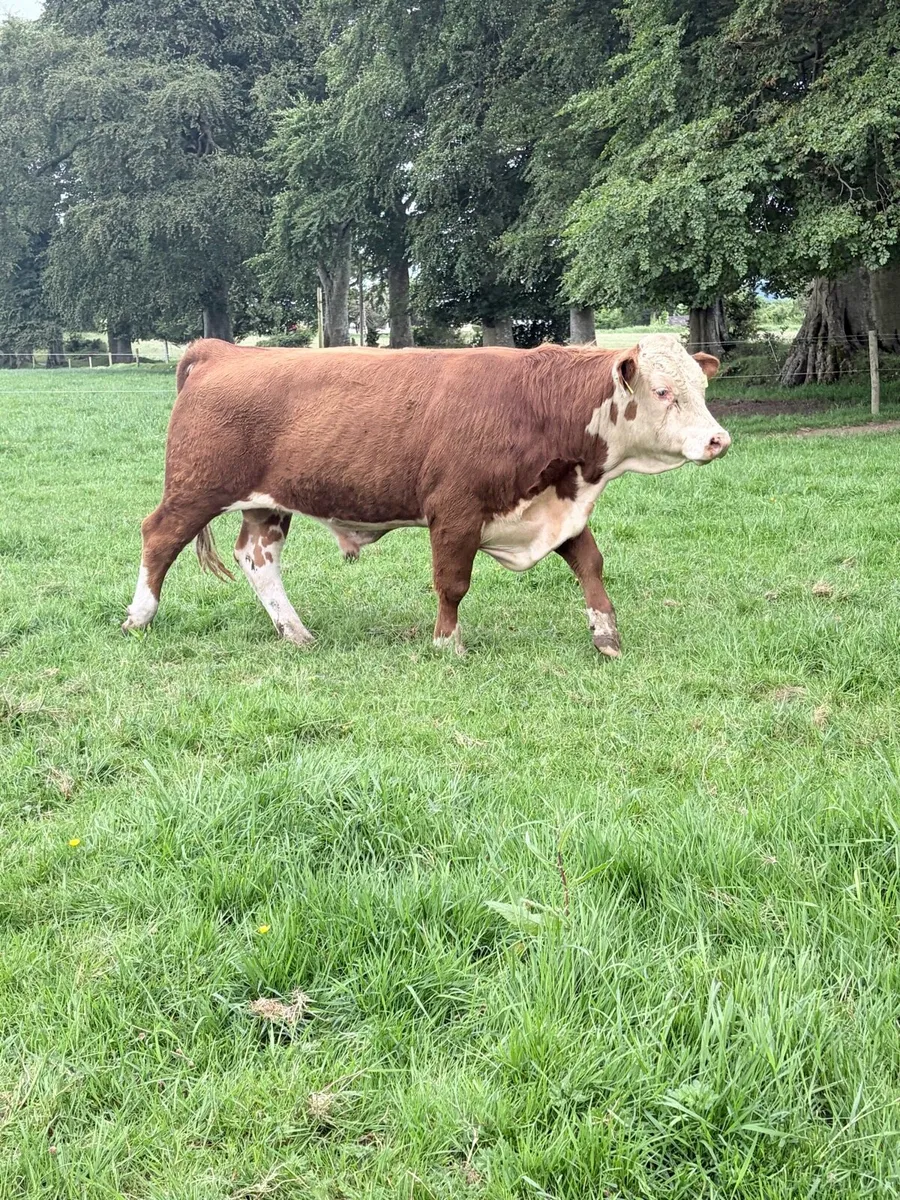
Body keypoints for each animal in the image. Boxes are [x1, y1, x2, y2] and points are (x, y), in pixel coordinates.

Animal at [123, 334, 730, 657]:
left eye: (702, 388)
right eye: (662, 391)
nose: (718, 438)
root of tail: (223, 351)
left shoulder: (555, 505)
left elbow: (590, 564)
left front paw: (606, 635)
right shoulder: (455, 511)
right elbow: (453, 582)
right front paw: (446, 644)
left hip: (265, 502)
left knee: (257, 557)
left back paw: (295, 632)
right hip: (197, 487)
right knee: (159, 537)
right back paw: (139, 618)